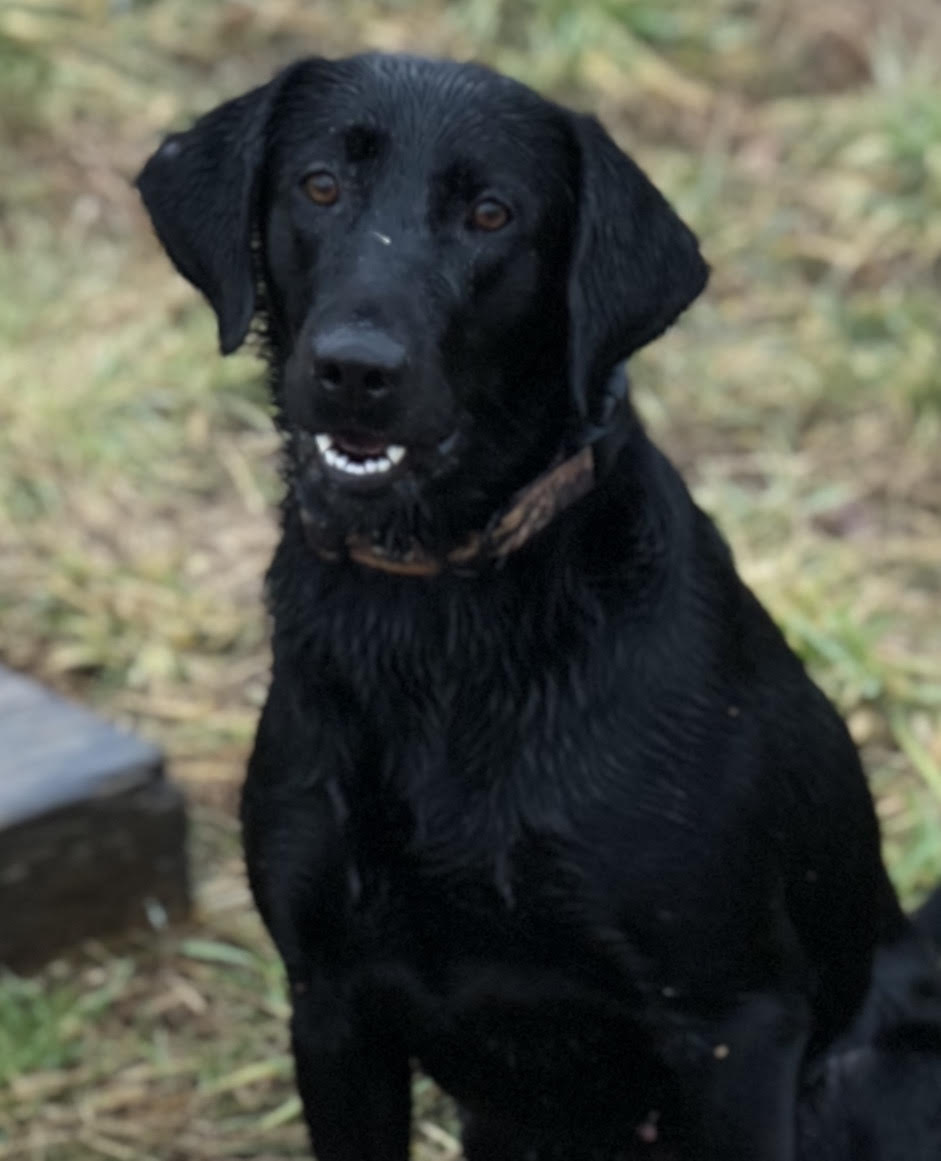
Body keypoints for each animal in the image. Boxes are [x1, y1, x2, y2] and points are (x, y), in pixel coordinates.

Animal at [136, 54, 937, 1161]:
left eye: (490, 213)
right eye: (319, 186)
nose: (354, 370)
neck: (437, 613)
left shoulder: (733, 1025)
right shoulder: (331, 1005)